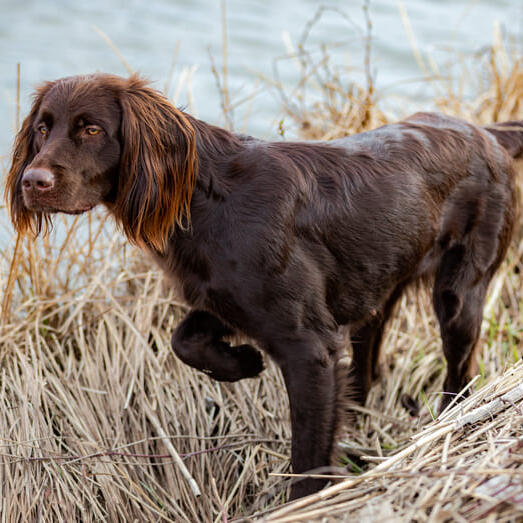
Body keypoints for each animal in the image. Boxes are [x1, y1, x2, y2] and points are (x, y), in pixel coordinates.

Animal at [6, 72, 520, 500]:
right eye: (42, 129)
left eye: (92, 130)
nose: (33, 181)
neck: (206, 198)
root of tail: (486, 133)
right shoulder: (222, 299)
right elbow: (183, 339)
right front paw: (241, 362)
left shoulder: (309, 348)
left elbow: (308, 459)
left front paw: (302, 504)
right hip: (377, 290)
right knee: (368, 363)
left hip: (459, 295)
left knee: (460, 373)